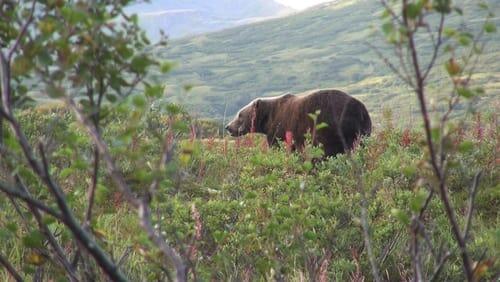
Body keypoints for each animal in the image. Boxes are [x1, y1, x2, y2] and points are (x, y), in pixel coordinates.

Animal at [226, 89, 372, 156]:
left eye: (239, 115)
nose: (228, 127)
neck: (267, 120)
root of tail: (361, 109)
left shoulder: (279, 128)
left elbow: (278, 145)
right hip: (364, 128)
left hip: (334, 125)